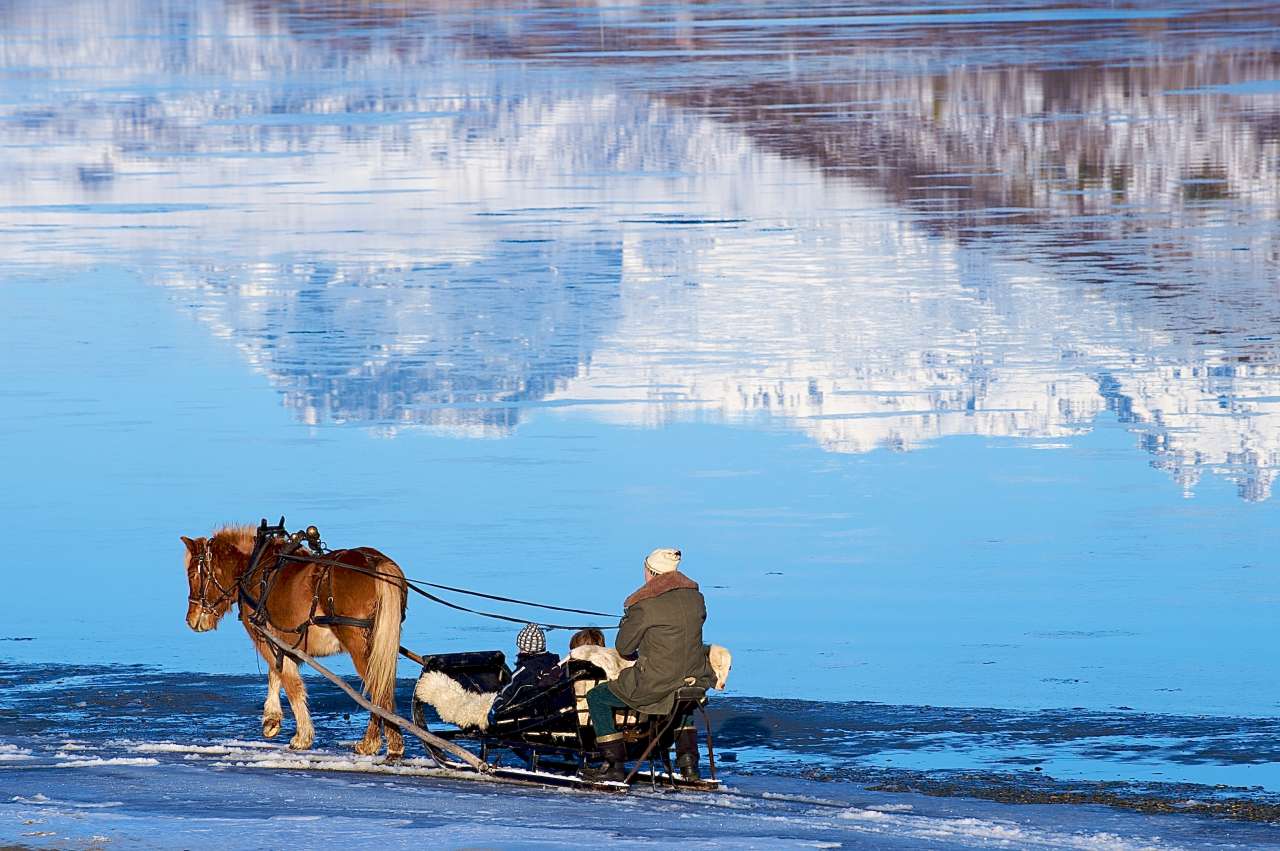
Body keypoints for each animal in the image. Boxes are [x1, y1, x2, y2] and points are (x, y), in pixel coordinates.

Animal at [180, 524, 407, 757]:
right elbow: (276, 674)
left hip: (359, 644)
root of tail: (375, 562)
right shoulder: (285, 641)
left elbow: (290, 683)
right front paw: (271, 719)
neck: (255, 567)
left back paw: (374, 742)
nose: (191, 619)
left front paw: (302, 736)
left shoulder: (265, 636)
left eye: (192, 574)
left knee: (378, 689)